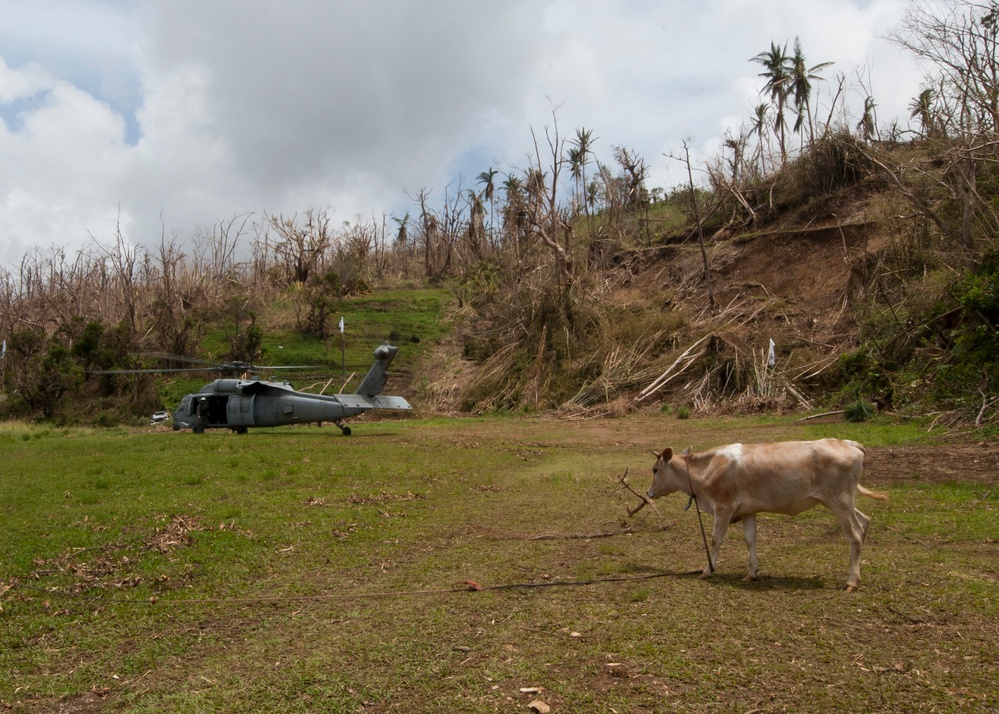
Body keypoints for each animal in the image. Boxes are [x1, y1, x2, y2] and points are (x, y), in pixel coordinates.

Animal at [648, 436, 892, 592]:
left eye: (655, 469)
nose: (649, 492)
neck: (708, 469)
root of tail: (847, 444)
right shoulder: (748, 510)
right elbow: (751, 540)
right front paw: (751, 573)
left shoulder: (724, 506)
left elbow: (716, 539)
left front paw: (708, 570)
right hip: (844, 501)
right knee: (864, 521)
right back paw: (857, 575)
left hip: (839, 500)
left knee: (855, 536)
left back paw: (851, 581)